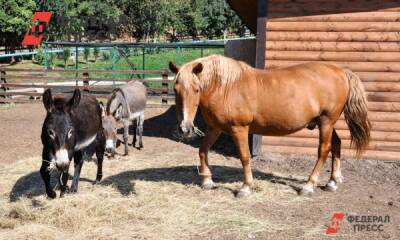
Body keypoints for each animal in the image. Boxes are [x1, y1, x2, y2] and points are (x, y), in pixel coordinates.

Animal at [168, 55, 368, 198]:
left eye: (196, 89)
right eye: (175, 90)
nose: (184, 128)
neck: (225, 87)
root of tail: (341, 71)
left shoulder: (239, 129)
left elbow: (244, 157)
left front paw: (246, 187)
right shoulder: (214, 128)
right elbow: (203, 150)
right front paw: (207, 181)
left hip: (326, 121)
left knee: (324, 150)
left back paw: (309, 185)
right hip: (325, 122)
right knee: (337, 144)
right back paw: (332, 182)